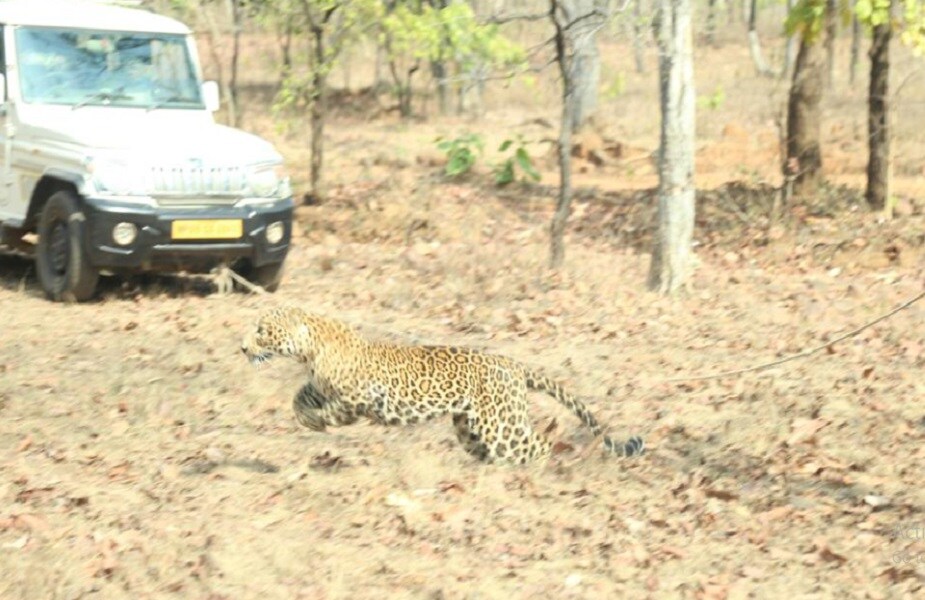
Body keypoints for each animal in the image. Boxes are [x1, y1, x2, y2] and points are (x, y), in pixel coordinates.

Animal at [241, 305, 644, 465]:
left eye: (262, 330)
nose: (242, 347)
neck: (310, 350)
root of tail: (513, 365)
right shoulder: (319, 385)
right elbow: (301, 396)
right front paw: (305, 415)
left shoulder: (360, 398)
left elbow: (335, 410)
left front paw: (317, 422)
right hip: (469, 427)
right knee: (497, 453)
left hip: (500, 425)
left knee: (539, 445)